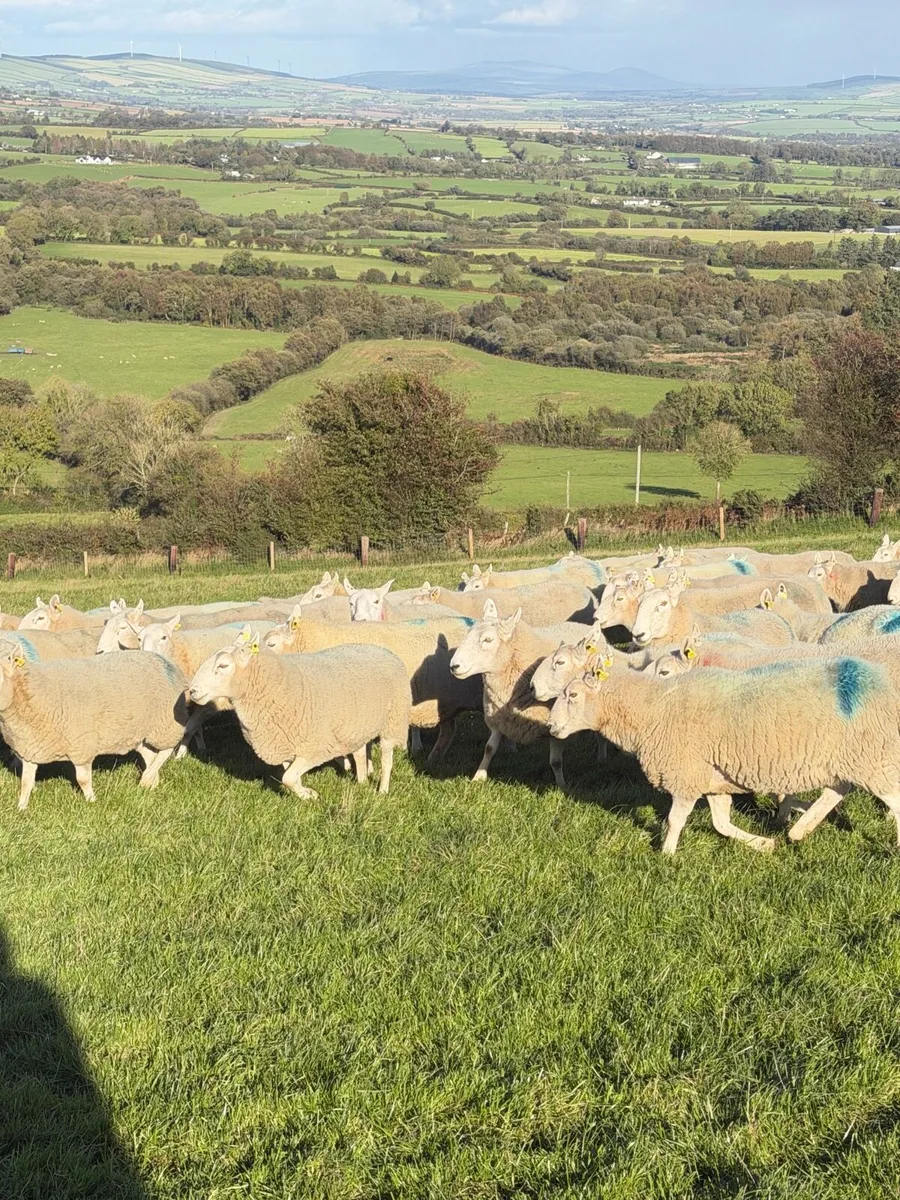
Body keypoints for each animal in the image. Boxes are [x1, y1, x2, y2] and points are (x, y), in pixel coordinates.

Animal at [0, 645, 191, 810]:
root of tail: (166, 660)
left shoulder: (82, 745)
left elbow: (83, 779)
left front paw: (91, 801)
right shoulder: (30, 747)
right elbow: (26, 781)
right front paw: (21, 807)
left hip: (166, 722)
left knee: (166, 750)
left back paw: (146, 778)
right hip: (139, 731)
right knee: (149, 754)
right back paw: (151, 781)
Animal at [188, 638, 410, 797]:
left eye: (223, 666)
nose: (192, 691)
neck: (279, 687)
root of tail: (382, 649)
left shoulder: (316, 747)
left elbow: (288, 777)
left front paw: (309, 795)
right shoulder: (285, 745)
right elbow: (290, 777)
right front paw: (304, 793)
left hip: (394, 721)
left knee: (387, 759)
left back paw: (382, 790)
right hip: (357, 726)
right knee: (359, 753)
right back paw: (362, 782)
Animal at [448, 600, 592, 786]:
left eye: (488, 639)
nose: (454, 666)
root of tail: (579, 624)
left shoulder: (557, 728)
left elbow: (556, 761)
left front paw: (561, 785)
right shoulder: (498, 719)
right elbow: (489, 749)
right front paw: (478, 777)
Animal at [548, 658, 900, 853]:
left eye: (573, 695)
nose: (551, 726)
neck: (655, 708)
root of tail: (881, 683)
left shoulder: (686, 776)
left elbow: (675, 820)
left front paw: (666, 854)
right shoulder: (712, 779)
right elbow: (721, 824)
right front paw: (763, 844)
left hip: (868, 756)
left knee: (890, 799)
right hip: (851, 757)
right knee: (837, 789)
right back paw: (799, 829)